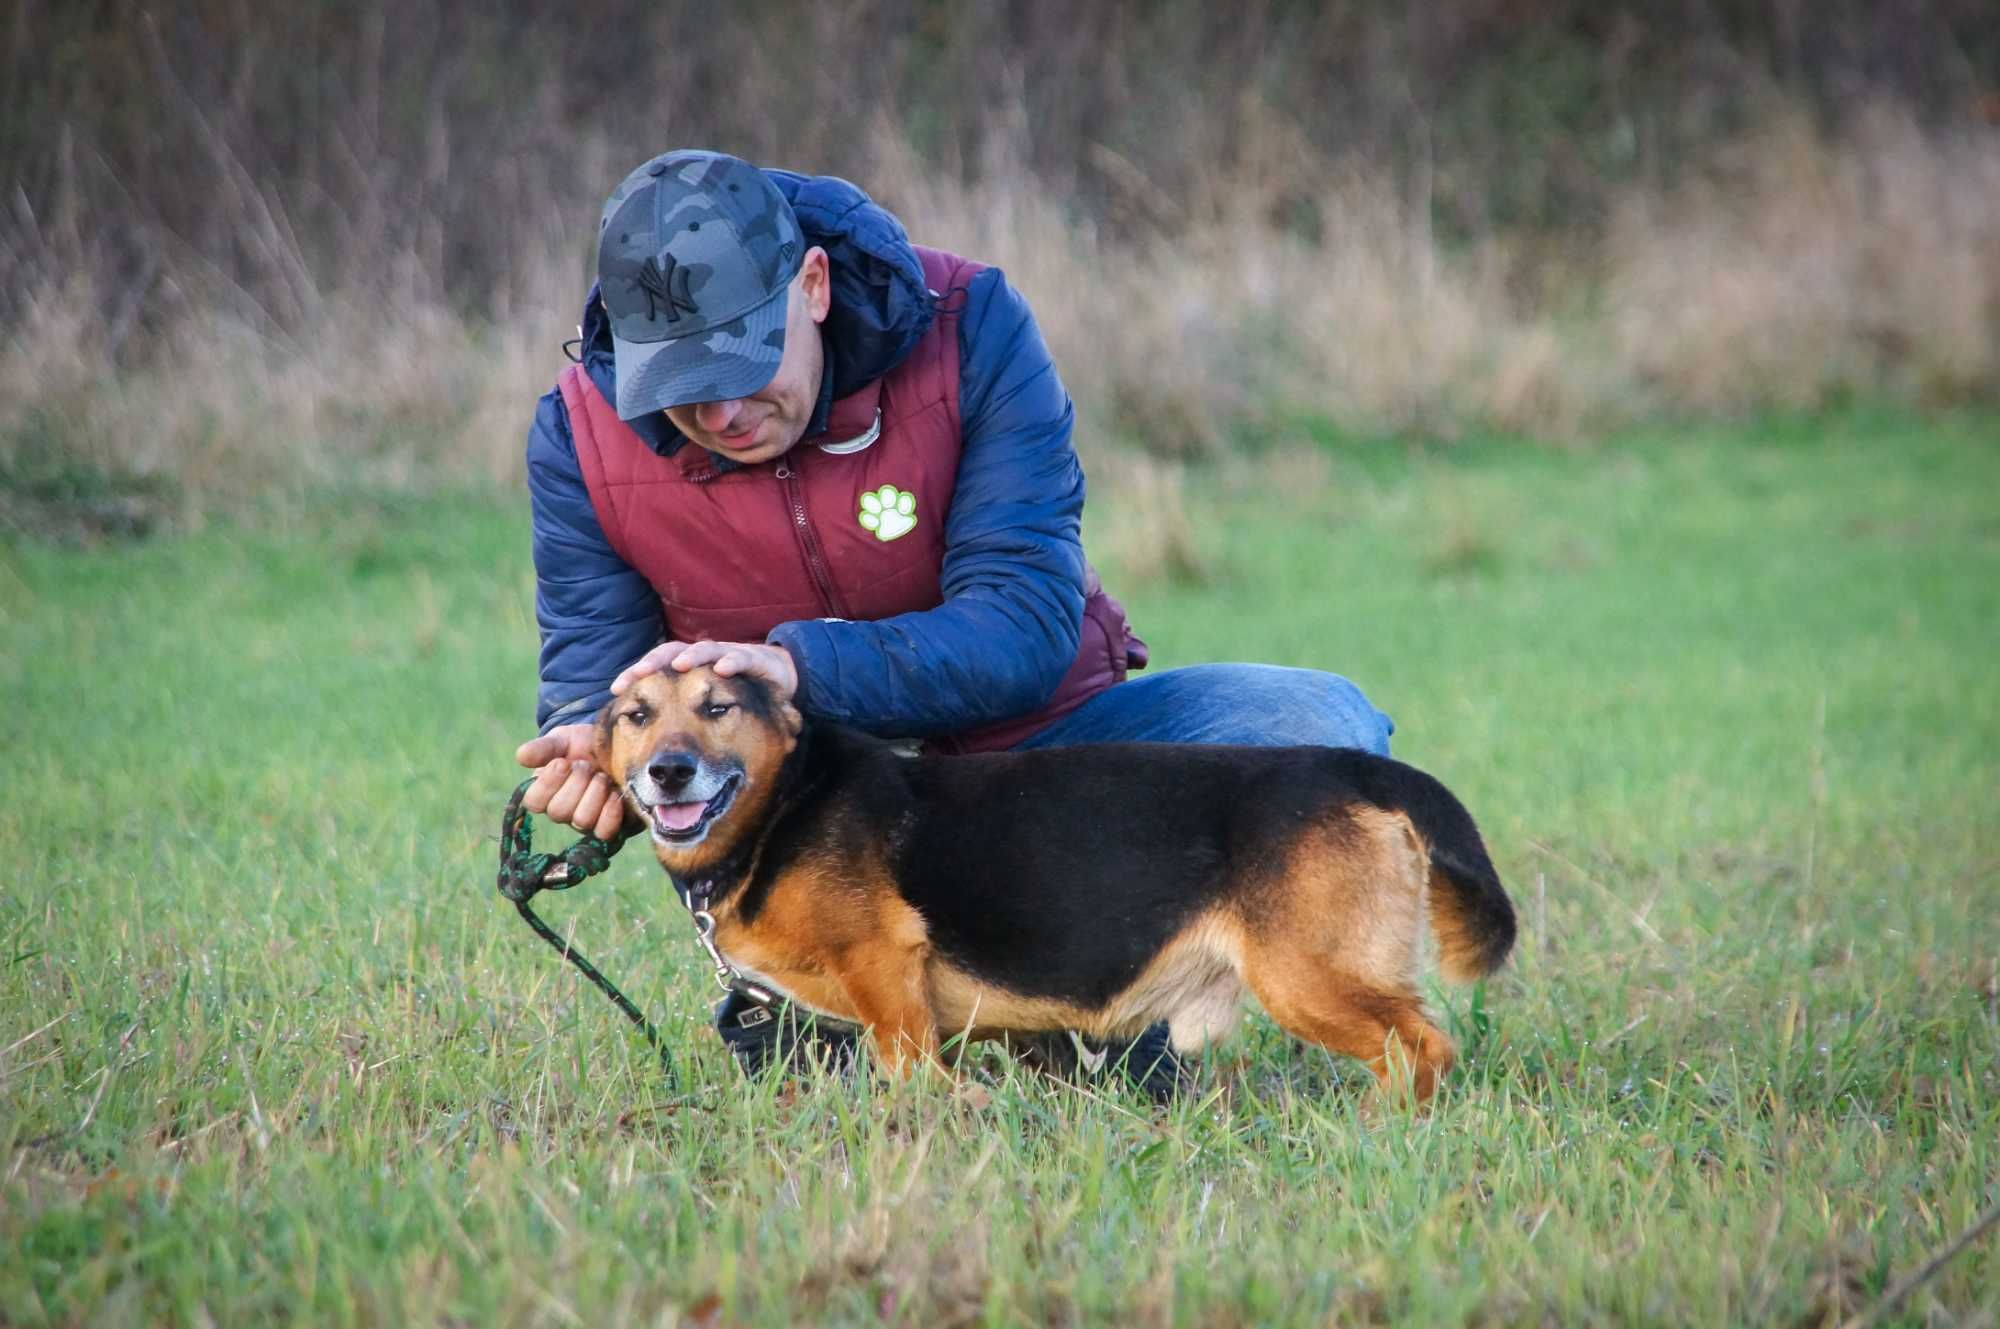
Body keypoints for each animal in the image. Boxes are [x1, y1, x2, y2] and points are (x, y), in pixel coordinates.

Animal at [592, 664, 1512, 1096]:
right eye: (635, 716)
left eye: (718, 707)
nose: (669, 773)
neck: (787, 799)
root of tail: (1355, 771)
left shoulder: (885, 963)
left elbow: (907, 1065)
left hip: (1307, 976)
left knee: (1421, 1047)